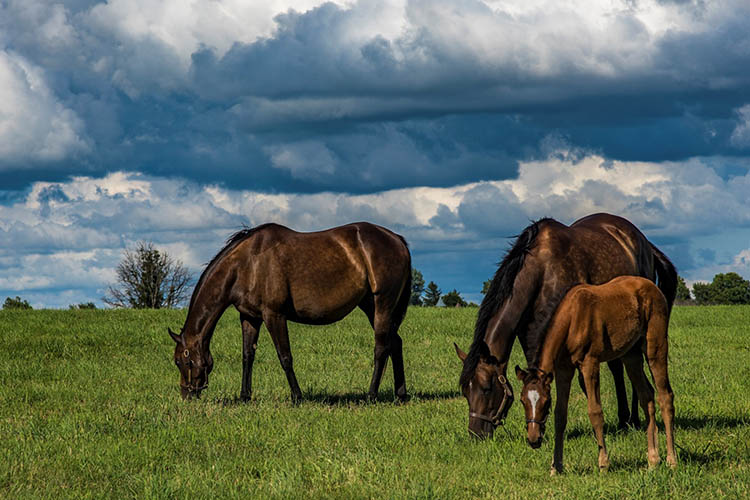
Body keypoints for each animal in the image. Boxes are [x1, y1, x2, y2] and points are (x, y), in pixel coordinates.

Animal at [168, 223, 414, 402]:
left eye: (183, 361)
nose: (187, 395)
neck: (248, 264)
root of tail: (397, 239)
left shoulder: (274, 316)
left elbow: (285, 356)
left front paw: (297, 396)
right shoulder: (250, 318)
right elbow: (247, 356)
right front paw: (244, 396)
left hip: (382, 304)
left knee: (381, 348)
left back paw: (371, 395)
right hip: (370, 306)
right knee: (396, 343)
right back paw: (400, 394)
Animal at [456, 213, 680, 440]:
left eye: (486, 387)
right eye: (465, 391)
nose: (475, 433)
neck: (542, 269)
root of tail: (643, 241)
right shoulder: (531, 335)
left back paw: (632, 419)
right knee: (618, 368)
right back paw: (625, 419)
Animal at [516, 276, 676, 474]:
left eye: (545, 402)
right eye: (522, 400)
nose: (533, 439)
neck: (572, 319)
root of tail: (652, 286)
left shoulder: (589, 364)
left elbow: (595, 412)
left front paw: (603, 463)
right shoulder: (563, 370)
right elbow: (560, 415)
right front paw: (556, 467)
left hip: (656, 347)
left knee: (665, 397)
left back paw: (671, 460)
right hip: (631, 356)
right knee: (646, 397)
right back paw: (653, 460)